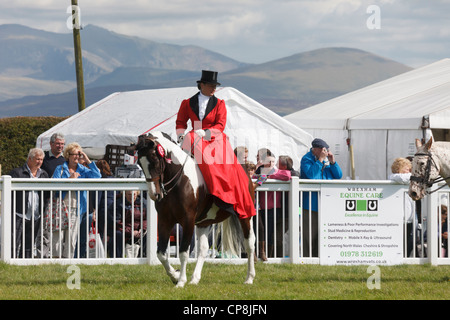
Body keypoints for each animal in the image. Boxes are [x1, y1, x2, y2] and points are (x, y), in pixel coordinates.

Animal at [135, 131, 255, 286]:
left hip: (245, 216)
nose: (154, 194)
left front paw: (181, 281)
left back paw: (249, 278)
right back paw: (194, 279)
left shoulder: (188, 221)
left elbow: (183, 253)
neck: (179, 180)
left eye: (155, 160)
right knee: (203, 249)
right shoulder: (164, 220)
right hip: (204, 222)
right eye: (139, 163)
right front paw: (175, 275)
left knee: (249, 243)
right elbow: (161, 253)